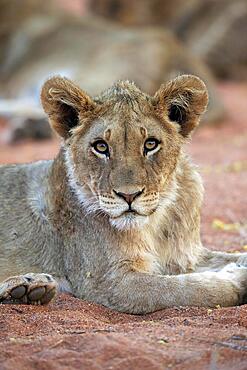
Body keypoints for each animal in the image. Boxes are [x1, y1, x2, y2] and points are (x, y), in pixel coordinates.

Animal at [0, 74, 246, 312]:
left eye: (150, 144)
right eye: (101, 147)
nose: (129, 196)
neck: (156, 225)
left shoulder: (188, 256)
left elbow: (226, 258)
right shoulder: (110, 282)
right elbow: (184, 289)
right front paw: (237, 280)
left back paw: (29, 287)